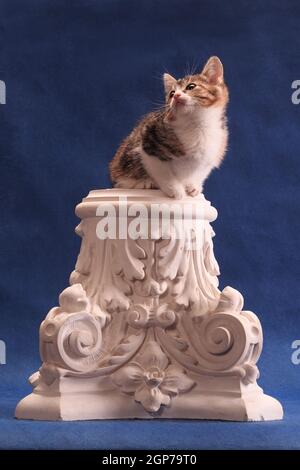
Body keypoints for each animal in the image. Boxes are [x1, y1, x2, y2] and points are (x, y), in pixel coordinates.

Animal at [109, 56, 229, 197]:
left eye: (191, 86)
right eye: (171, 93)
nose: (176, 96)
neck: (197, 124)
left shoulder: (214, 150)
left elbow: (202, 171)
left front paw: (193, 186)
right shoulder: (148, 142)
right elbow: (162, 171)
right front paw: (175, 190)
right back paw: (147, 183)